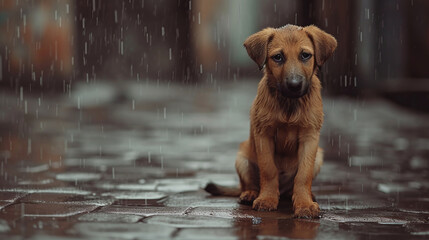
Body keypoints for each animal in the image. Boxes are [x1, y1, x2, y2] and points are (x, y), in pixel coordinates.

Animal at [205, 23, 338, 218]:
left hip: (319, 155)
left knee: (293, 186)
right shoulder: (264, 135)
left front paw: (304, 204)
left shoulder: (310, 137)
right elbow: (268, 170)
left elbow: (303, 175)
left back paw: (303, 195)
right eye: (278, 57)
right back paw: (251, 194)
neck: (289, 104)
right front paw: (267, 199)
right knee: (249, 183)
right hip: (242, 157)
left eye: (305, 55)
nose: (294, 85)